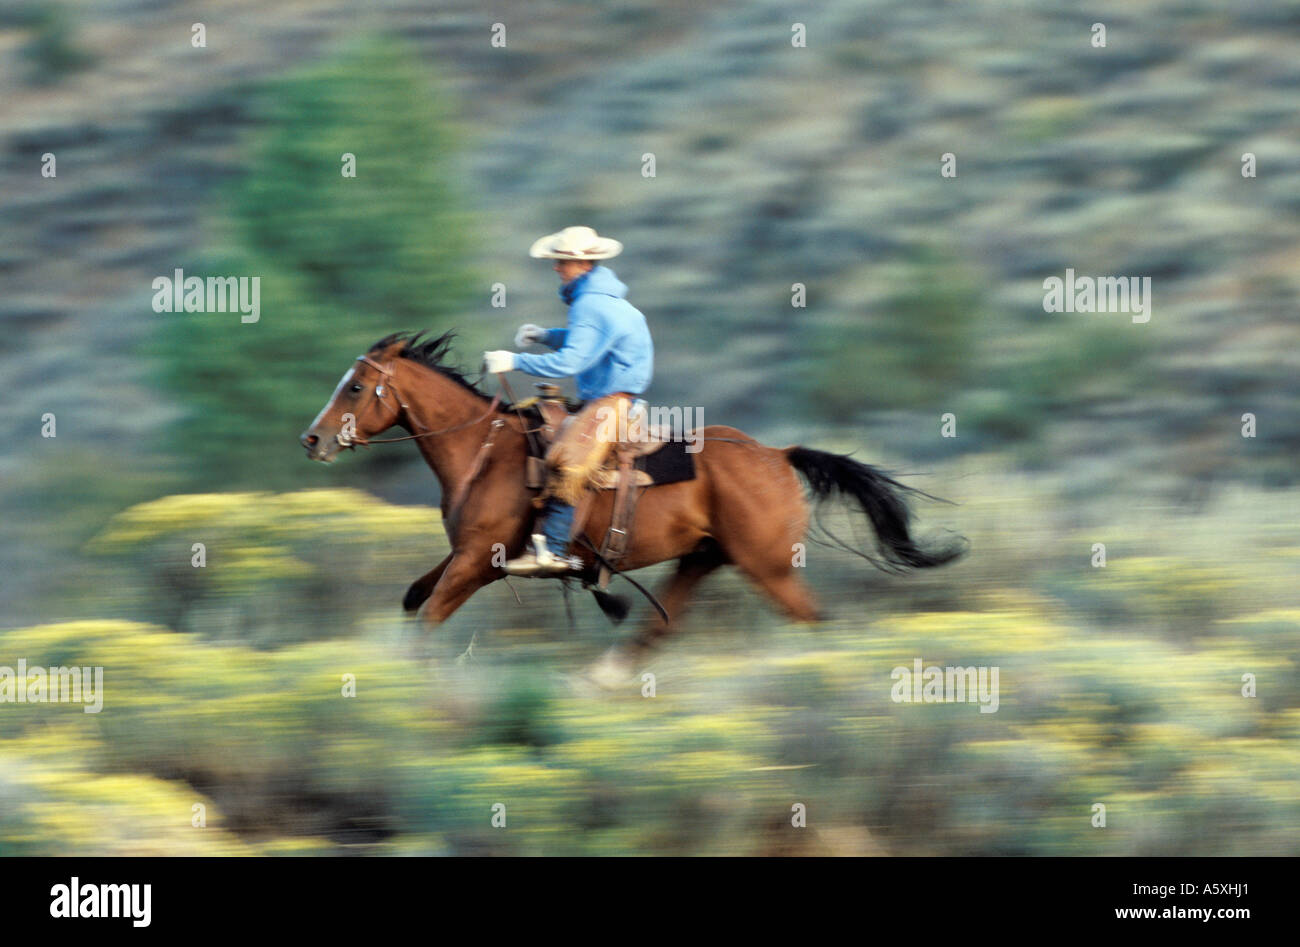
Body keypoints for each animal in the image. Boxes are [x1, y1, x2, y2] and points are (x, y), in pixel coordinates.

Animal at [299, 333, 961, 681]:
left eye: (354, 387)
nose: (312, 439)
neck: (484, 453)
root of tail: (777, 453)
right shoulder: (463, 555)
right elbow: (415, 599)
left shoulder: (479, 562)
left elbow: (430, 614)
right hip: (701, 561)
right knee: (654, 630)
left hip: (769, 567)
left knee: (810, 621)